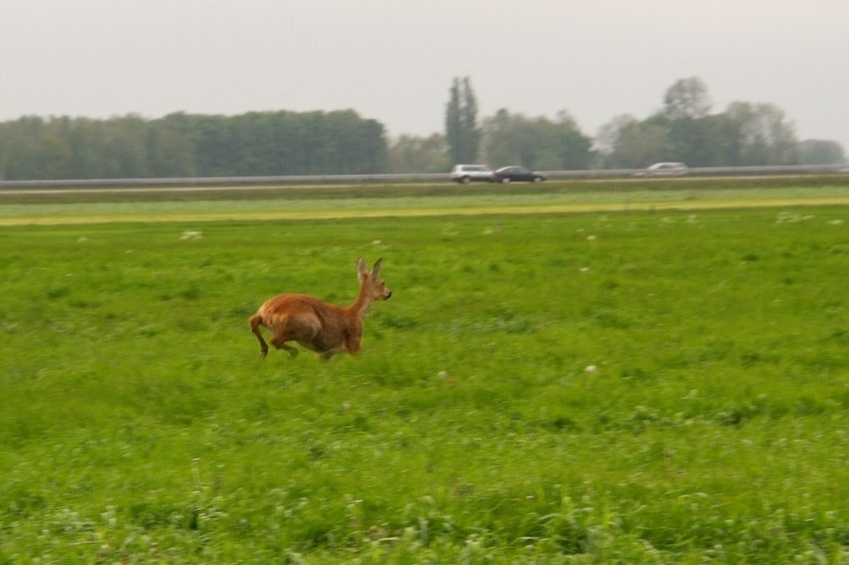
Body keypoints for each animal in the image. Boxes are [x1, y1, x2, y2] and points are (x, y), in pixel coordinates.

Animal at [247, 258, 390, 360]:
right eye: (382, 282)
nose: (389, 293)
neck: (356, 314)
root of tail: (269, 312)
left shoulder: (325, 353)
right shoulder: (354, 344)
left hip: (265, 315)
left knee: (253, 321)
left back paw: (263, 352)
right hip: (309, 326)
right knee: (274, 340)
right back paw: (290, 353)